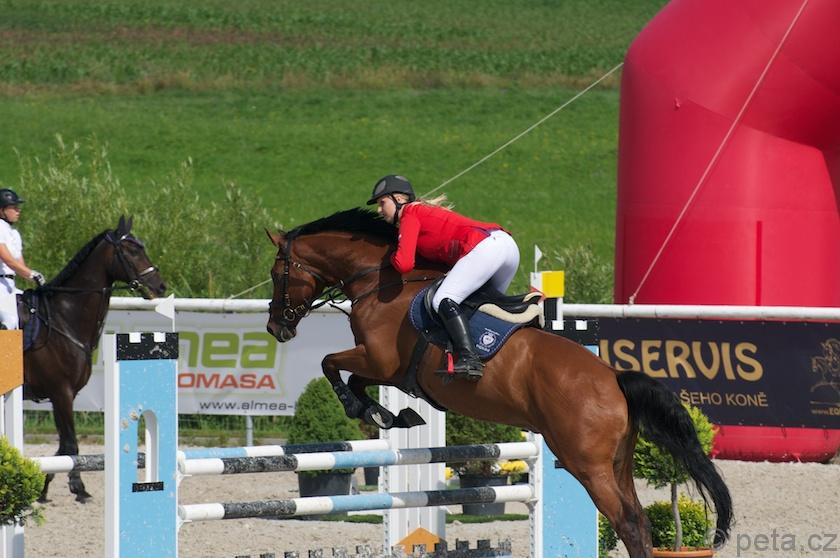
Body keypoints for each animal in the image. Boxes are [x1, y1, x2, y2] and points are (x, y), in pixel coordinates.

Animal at [22, 216, 166, 502]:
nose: (159, 286)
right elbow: (71, 444)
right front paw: (78, 487)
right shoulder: (61, 393)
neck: (64, 320)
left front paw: (44, 487)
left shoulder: (66, 395)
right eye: (133, 251)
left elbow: (63, 448)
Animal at [265, 208, 732, 558]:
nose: (275, 327)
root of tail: (614, 378)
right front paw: (391, 414)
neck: (377, 283)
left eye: (276, 272)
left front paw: (364, 409)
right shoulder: (388, 369)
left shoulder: (380, 359)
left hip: (586, 463)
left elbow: (330, 364)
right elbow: (354, 378)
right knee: (638, 521)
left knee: (627, 522)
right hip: (617, 462)